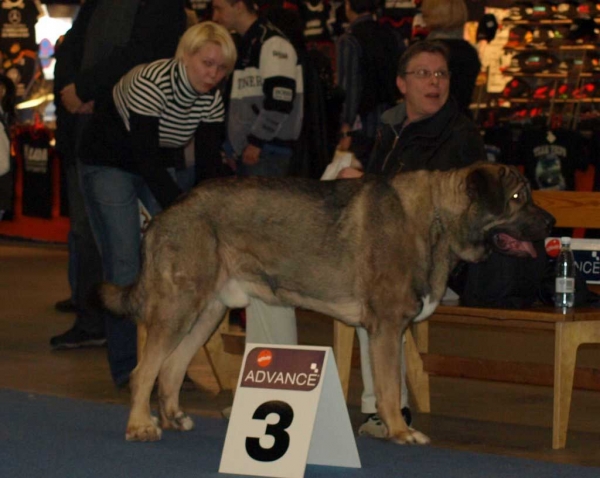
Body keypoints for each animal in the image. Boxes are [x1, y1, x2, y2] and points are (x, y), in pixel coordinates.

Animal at [101, 162, 556, 444]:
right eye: (518, 197)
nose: (553, 222)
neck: (439, 219)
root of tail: (164, 215)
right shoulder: (386, 328)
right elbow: (390, 387)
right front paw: (400, 432)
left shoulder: (391, 331)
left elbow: (392, 386)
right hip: (179, 307)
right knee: (145, 370)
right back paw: (141, 425)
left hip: (206, 312)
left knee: (171, 368)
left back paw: (174, 417)